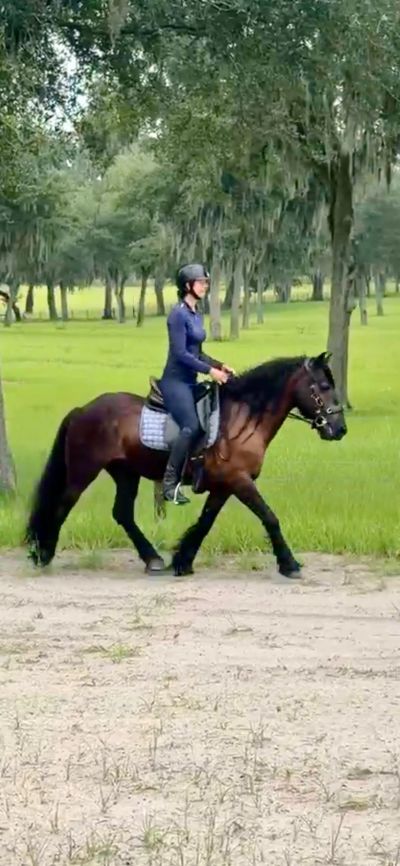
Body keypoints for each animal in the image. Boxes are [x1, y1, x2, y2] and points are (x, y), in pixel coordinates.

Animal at [25, 351, 347, 578]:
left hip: (125, 473)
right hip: (83, 472)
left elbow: (205, 522)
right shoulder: (240, 480)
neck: (241, 419)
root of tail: (82, 409)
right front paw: (289, 564)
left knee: (122, 513)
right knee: (62, 505)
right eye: (324, 386)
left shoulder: (224, 485)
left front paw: (183, 561)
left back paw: (153, 559)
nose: (339, 429)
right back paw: (43, 554)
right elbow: (269, 517)